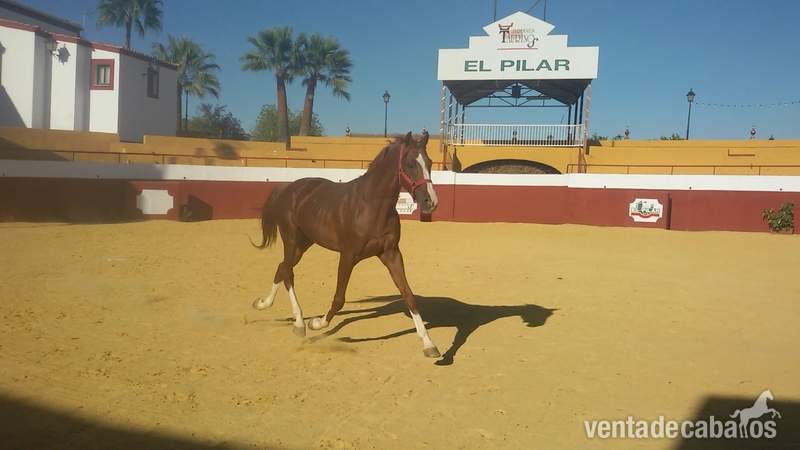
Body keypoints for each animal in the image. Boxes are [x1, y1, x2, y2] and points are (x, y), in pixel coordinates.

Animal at [251, 131, 441, 358]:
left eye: (429, 162)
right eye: (410, 163)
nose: (431, 202)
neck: (370, 206)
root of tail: (287, 188)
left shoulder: (391, 253)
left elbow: (409, 295)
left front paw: (429, 344)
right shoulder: (348, 255)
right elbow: (339, 298)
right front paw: (317, 323)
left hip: (303, 243)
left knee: (282, 267)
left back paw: (263, 304)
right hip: (291, 239)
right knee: (288, 272)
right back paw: (299, 323)